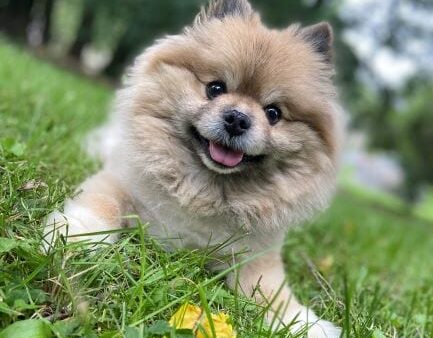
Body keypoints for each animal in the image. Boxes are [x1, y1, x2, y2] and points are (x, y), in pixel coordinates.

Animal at [44, 1, 344, 336]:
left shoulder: (255, 256)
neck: (206, 187)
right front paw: (77, 236)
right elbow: (103, 204)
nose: (237, 118)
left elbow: (269, 291)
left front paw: (302, 322)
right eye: (215, 88)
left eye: (273, 113)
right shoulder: (120, 182)